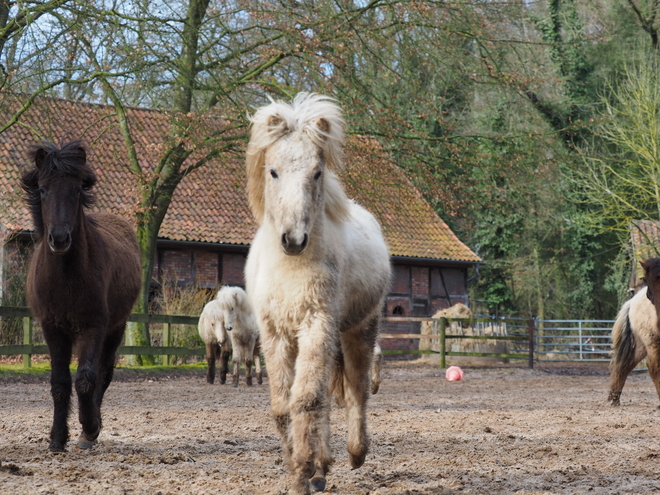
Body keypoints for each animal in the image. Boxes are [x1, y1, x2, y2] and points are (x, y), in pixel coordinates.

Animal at [21, 140, 140, 454]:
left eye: (76, 190)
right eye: (42, 189)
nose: (60, 239)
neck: (66, 277)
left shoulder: (93, 326)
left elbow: (86, 379)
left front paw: (89, 429)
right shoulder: (52, 328)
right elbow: (60, 382)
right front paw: (56, 439)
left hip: (115, 328)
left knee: (103, 371)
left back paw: (92, 426)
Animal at [244, 94, 390, 495]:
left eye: (317, 172)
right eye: (273, 171)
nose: (294, 240)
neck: (291, 270)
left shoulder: (317, 324)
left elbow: (308, 400)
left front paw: (302, 472)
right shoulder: (275, 333)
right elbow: (284, 406)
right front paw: (302, 467)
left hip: (358, 329)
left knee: (355, 388)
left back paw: (355, 453)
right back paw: (324, 467)